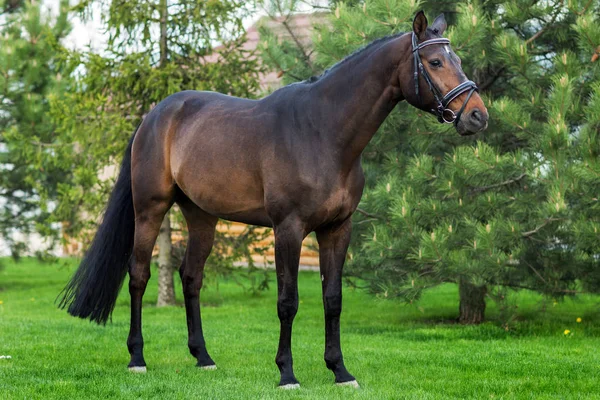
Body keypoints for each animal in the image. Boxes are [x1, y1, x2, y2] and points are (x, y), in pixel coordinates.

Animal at [58, 11, 488, 388]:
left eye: (458, 60)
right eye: (435, 61)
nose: (478, 116)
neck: (322, 133)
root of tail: (154, 116)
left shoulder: (338, 229)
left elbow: (333, 299)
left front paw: (340, 371)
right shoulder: (289, 229)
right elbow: (288, 301)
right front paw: (287, 374)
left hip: (201, 216)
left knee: (191, 277)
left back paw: (204, 357)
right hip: (150, 209)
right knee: (139, 276)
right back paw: (137, 358)